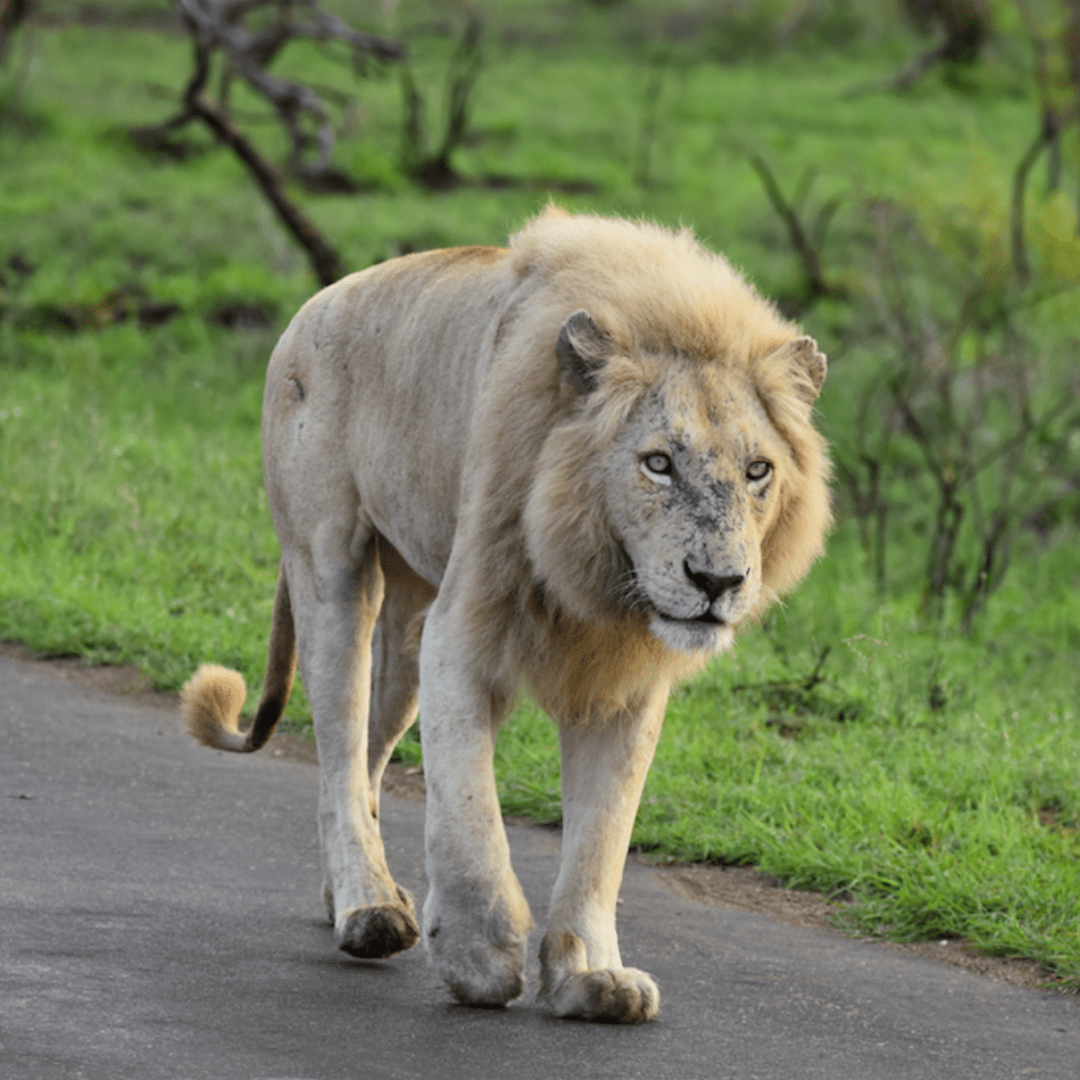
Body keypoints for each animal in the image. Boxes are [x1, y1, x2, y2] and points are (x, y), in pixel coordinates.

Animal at [181, 206, 829, 1023]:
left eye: (757, 471)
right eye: (657, 463)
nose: (718, 581)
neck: (599, 580)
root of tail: (319, 298)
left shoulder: (626, 686)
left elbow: (602, 838)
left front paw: (590, 976)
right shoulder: (462, 636)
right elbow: (467, 812)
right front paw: (477, 955)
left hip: (408, 622)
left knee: (367, 756)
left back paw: (348, 896)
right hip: (331, 566)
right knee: (337, 755)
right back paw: (368, 912)